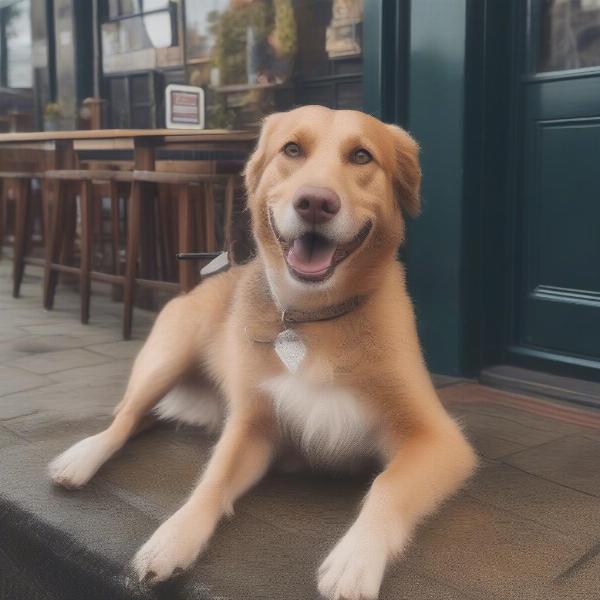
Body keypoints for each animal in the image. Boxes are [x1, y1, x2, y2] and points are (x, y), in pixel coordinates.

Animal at [48, 105, 478, 596]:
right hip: (166, 361)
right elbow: (212, 478)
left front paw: (356, 557)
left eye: (362, 156)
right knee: (125, 417)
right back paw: (80, 459)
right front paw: (172, 538)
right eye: (292, 149)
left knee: (144, 419)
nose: (315, 203)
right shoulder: (251, 426)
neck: (314, 318)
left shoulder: (438, 438)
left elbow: (386, 485)